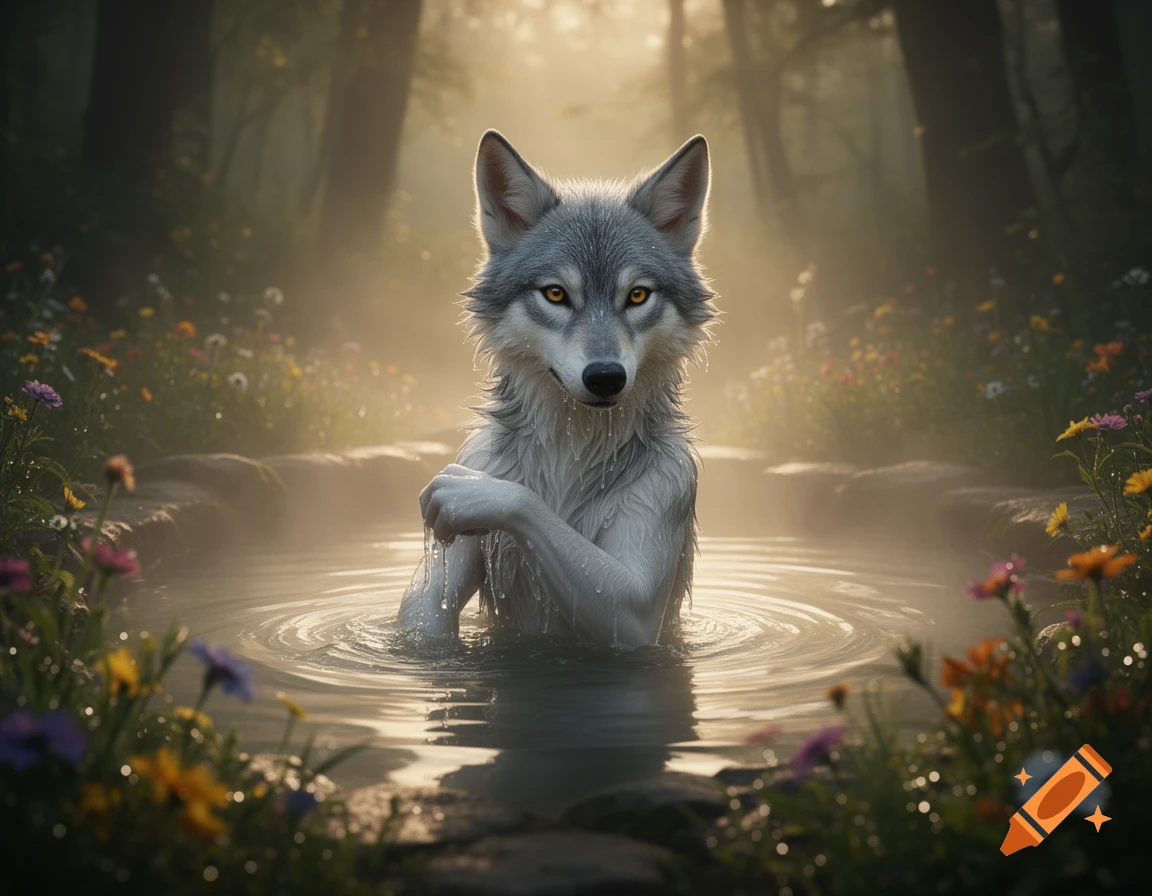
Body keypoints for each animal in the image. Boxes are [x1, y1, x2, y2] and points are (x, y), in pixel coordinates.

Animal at [396, 130, 716, 647]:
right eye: (555, 293)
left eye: (637, 295)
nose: (605, 376)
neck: (571, 454)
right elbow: (423, 615)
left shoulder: (667, 497)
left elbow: (519, 501)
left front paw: (477, 493)